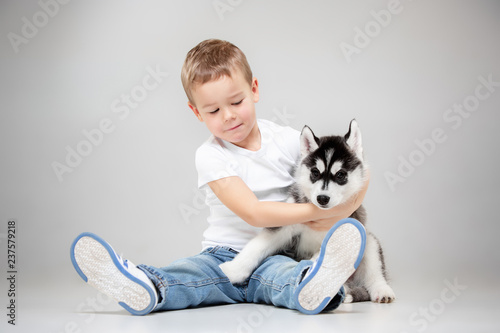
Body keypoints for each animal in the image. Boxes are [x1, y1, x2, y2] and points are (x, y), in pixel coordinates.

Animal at [219, 120, 394, 304]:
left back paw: (381, 290)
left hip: (369, 241)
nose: (322, 198)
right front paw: (232, 270)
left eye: (340, 175)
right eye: (315, 173)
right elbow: (256, 246)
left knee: (375, 272)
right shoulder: (284, 222)